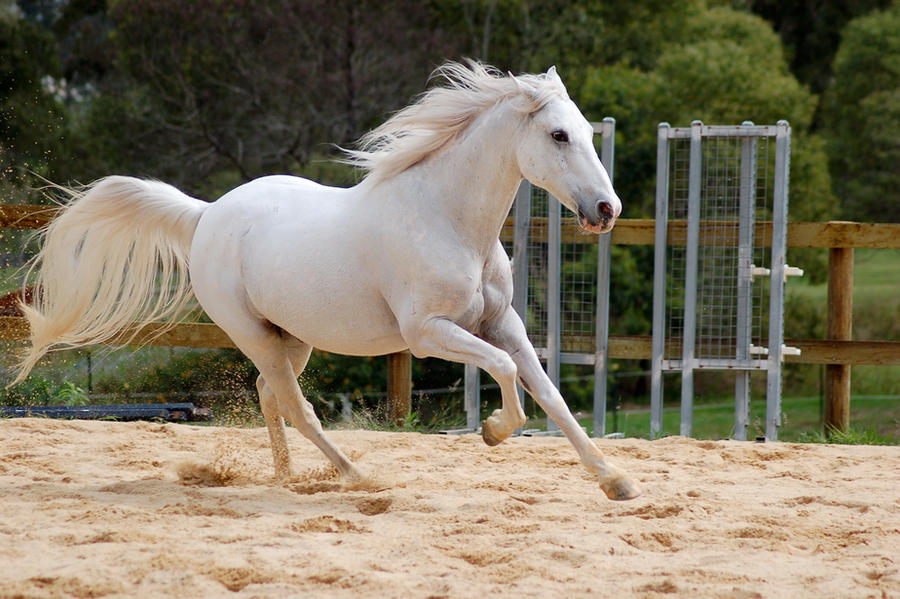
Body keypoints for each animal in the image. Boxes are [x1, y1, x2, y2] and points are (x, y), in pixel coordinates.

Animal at [17, 62, 644, 502]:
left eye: (589, 132)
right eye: (559, 135)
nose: (606, 210)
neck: (445, 219)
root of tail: (207, 214)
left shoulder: (501, 323)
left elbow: (550, 394)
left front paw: (615, 480)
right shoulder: (427, 334)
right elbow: (508, 374)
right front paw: (493, 431)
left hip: (292, 339)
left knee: (270, 395)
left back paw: (287, 477)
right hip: (254, 335)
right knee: (297, 407)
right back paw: (356, 475)